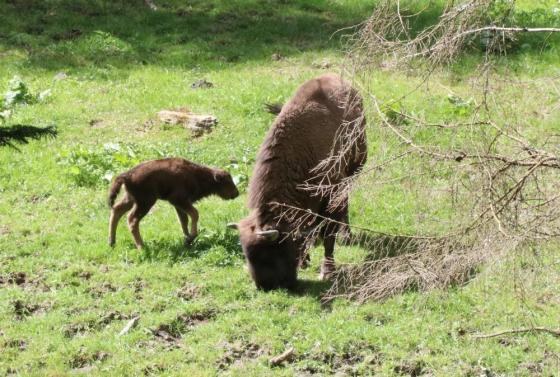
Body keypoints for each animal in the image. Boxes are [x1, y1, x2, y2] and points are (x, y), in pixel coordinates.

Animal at [107, 157, 238, 248]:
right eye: (227, 181)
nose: (236, 193)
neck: (198, 175)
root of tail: (126, 175)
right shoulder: (179, 200)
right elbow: (194, 214)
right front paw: (191, 237)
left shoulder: (179, 205)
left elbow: (184, 221)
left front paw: (187, 240)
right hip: (145, 202)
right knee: (132, 219)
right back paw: (142, 247)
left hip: (130, 199)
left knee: (116, 210)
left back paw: (112, 242)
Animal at [229, 74, 368, 290]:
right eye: (246, 255)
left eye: (271, 253)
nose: (265, 286)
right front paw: (305, 260)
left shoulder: (331, 195)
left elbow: (329, 234)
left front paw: (327, 272)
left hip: (354, 170)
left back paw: (346, 235)